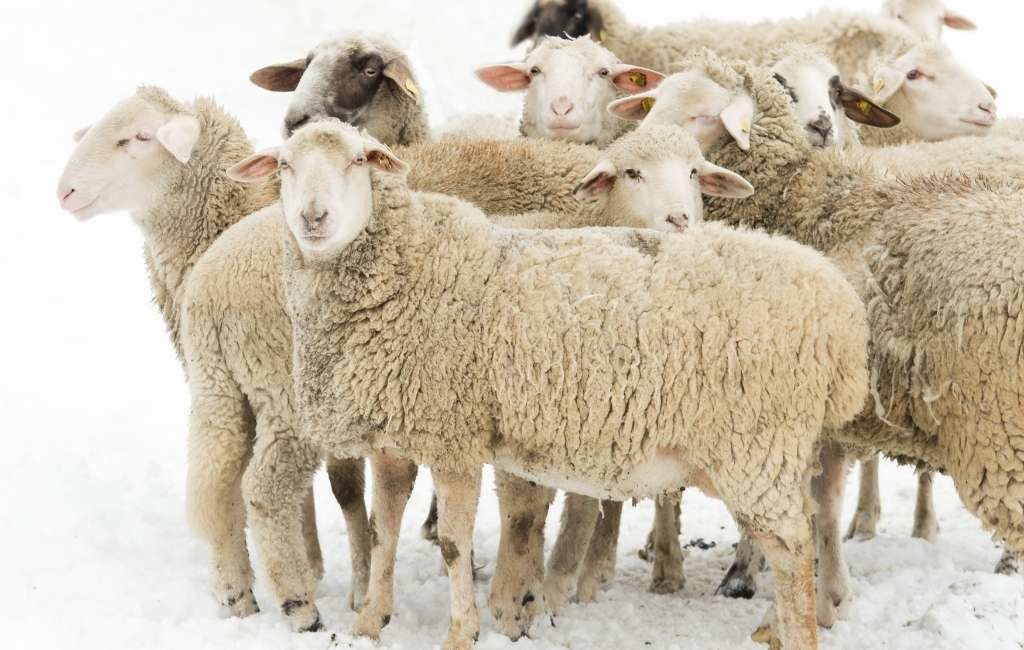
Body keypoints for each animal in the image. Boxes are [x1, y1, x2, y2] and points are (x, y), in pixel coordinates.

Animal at [52, 86, 372, 630]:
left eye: (139, 137)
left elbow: (342, 489)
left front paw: (344, 578)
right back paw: (257, 599)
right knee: (230, 487)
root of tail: (217, 294)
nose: (65, 192)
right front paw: (318, 569)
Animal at [228, 118, 868, 650]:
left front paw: (461, 633)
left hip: (754, 444)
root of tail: (839, 308)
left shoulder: (454, 438)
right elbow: (384, 532)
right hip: (780, 446)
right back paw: (776, 625)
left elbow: (454, 543)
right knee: (808, 522)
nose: (313, 219)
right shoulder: (394, 440)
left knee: (792, 548)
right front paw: (368, 624)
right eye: (284, 165)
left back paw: (796, 631)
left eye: (359, 160)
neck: (407, 269)